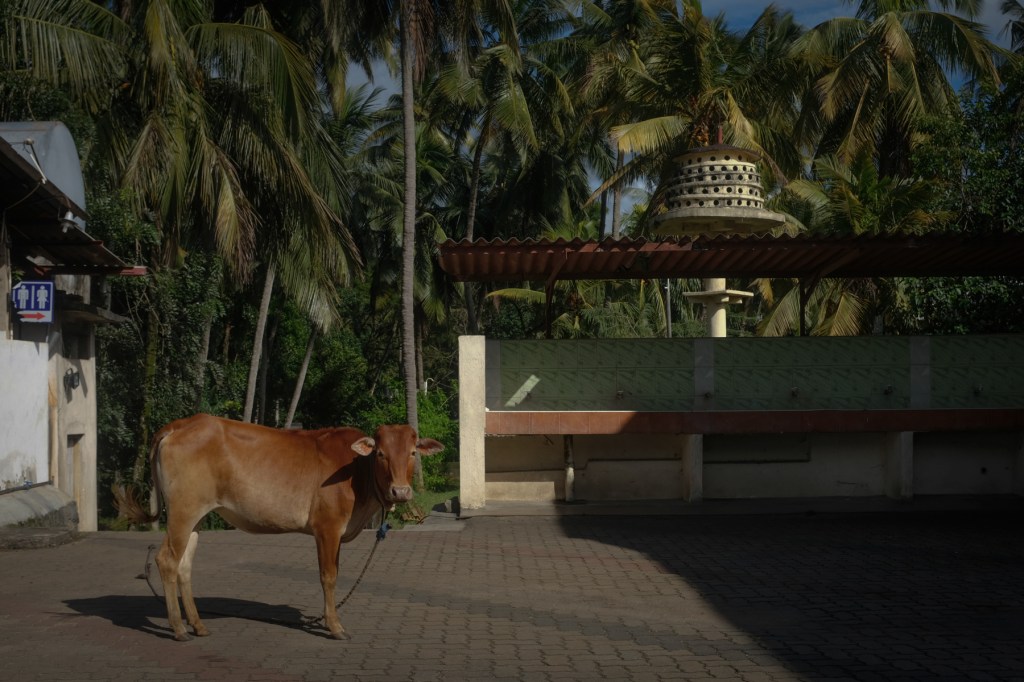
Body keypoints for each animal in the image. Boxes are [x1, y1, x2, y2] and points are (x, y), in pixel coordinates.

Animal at [115, 414, 443, 641]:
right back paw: (179, 628)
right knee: (167, 560)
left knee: (184, 565)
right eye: (381, 454)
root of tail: (181, 424)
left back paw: (197, 624)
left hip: (195, 516)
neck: (357, 472)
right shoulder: (327, 527)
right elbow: (329, 577)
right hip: (182, 511)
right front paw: (335, 627)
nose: (400, 491)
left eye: (413, 452)